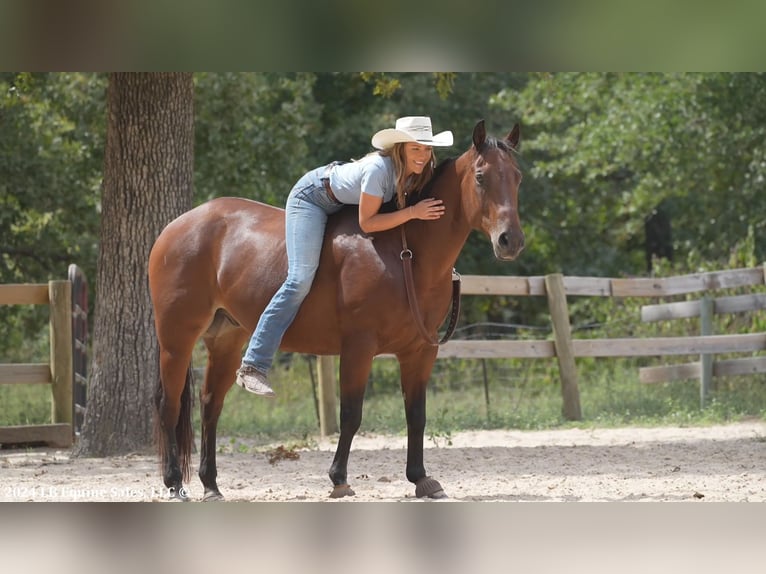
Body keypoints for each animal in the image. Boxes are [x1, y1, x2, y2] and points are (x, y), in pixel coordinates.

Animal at [147, 121, 524, 504]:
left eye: (517, 177)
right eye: (480, 176)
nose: (510, 241)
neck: (405, 253)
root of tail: (175, 227)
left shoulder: (420, 352)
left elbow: (416, 415)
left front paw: (421, 478)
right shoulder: (359, 348)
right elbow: (351, 414)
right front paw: (339, 479)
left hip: (227, 339)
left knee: (210, 404)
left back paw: (211, 485)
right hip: (177, 340)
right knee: (168, 405)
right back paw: (175, 483)